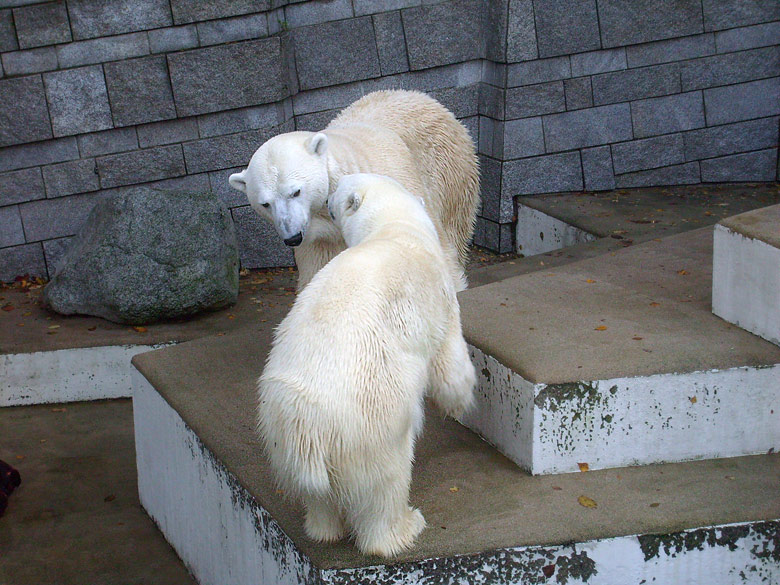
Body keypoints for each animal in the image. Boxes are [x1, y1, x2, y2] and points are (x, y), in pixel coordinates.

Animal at [229, 89, 478, 290]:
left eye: (296, 191)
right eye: (265, 204)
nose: (292, 238)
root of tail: (419, 96)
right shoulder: (320, 236)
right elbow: (315, 270)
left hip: (445, 166)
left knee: (454, 224)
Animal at [256, 173, 476, 556]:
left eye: (339, 187)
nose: (328, 196)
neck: (394, 228)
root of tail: (308, 425)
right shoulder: (439, 297)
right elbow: (450, 364)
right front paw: (462, 403)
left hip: (281, 432)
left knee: (319, 500)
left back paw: (323, 528)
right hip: (371, 426)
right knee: (385, 485)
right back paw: (404, 527)